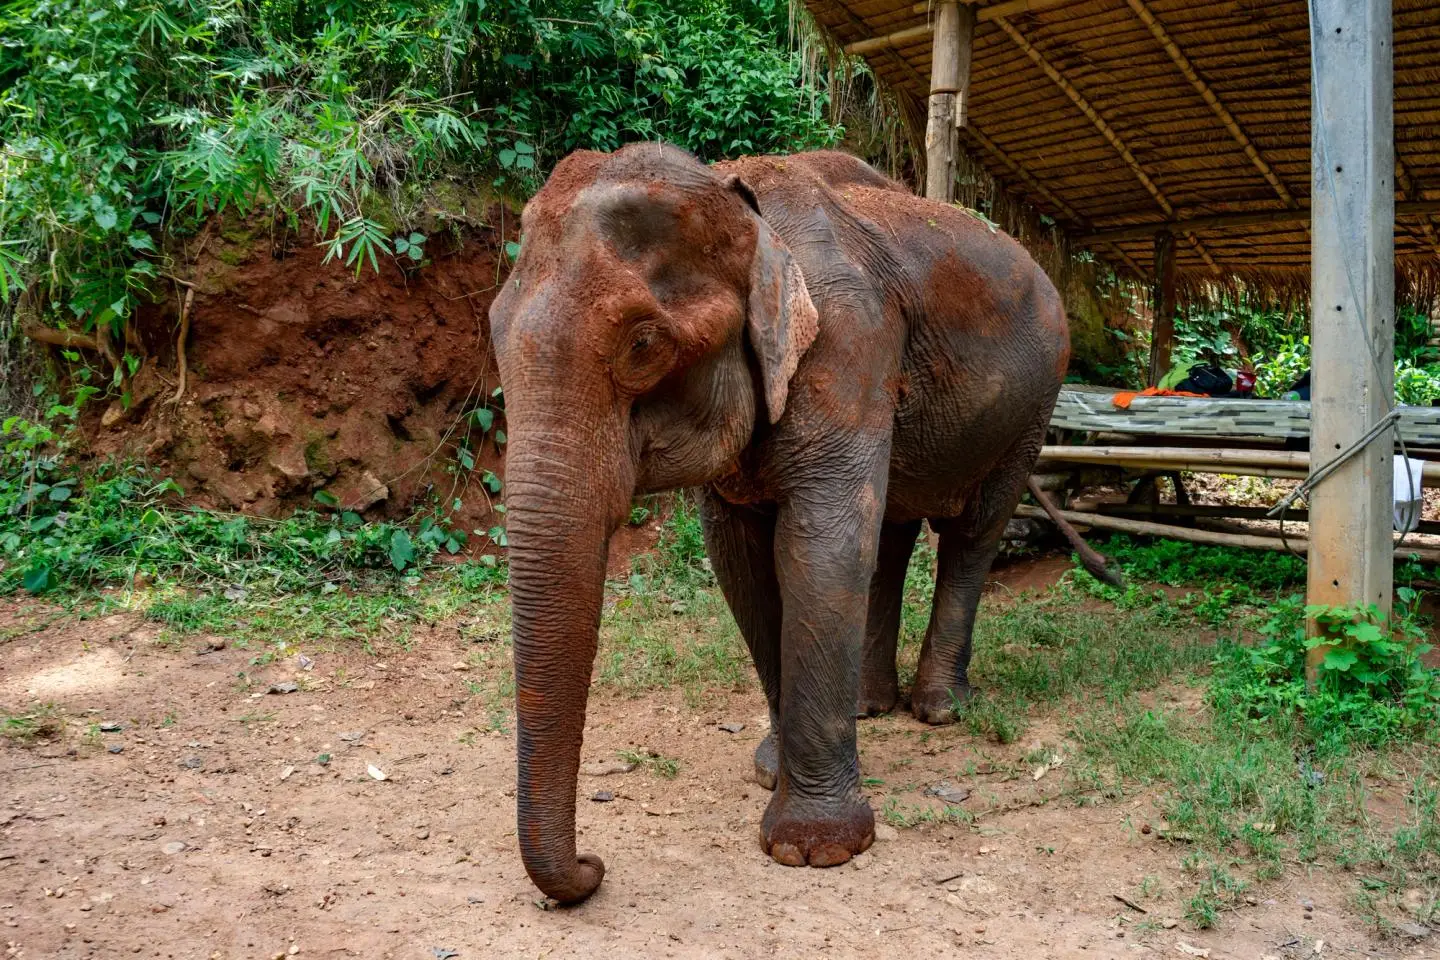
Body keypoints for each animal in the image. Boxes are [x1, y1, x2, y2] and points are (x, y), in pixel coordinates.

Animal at [489, 142, 1074, 904]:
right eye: (492, 332)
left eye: (643, 344)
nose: (593, 866)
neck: (736, 195)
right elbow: (742, 563)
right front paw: (771, 770)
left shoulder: (849, 346)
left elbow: (819, 547)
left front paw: (815, 848)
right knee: (891, 530)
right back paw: (868, 708)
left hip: (1036, 400)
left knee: (972, 532)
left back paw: (940, 710)